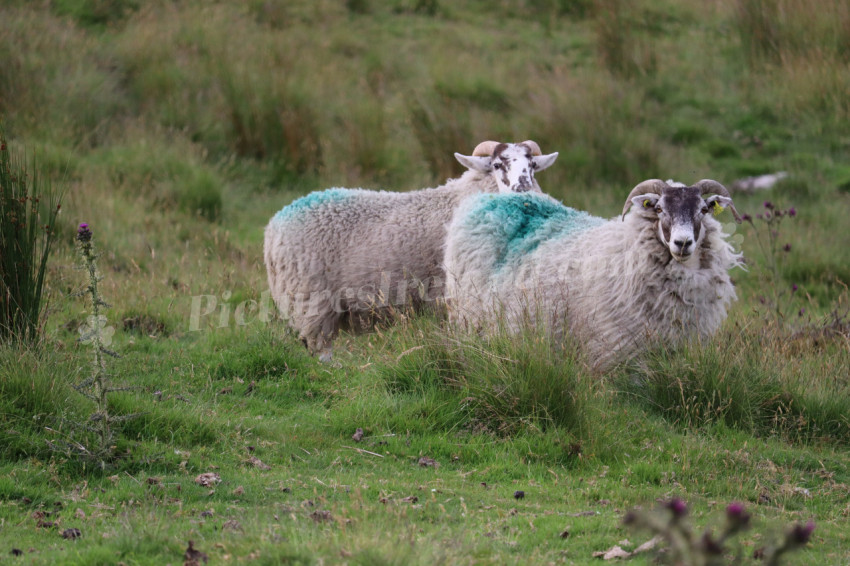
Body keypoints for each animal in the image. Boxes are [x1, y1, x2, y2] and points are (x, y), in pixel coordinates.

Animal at [264, 140, 559, 361]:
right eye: (497, 165)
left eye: (532, 165)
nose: (523, 187)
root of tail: (273, 228)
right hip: (311, 300)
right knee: (320, 350)